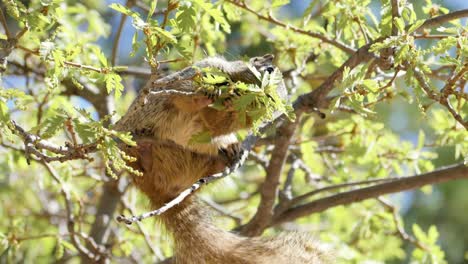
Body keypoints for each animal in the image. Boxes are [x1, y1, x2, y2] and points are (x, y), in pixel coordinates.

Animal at [115, 54, 328, 262]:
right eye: (269, 70)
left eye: (277, 101)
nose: (267, 99)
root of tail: (159, 191)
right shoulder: (197, 76)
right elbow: (182, 97)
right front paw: (207, 96)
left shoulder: (227, 122)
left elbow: (214, 124)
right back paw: (143, 151)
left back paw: (229, 152)